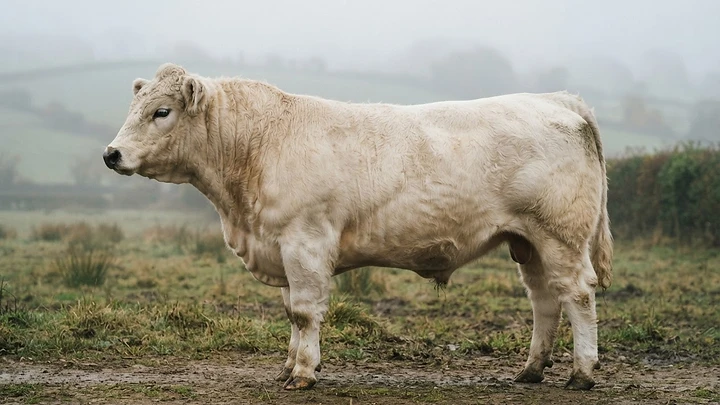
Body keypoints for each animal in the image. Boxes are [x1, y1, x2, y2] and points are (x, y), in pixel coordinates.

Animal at [102, 63, 613, 391]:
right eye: (134, 107)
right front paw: (289, 367)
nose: (111, 154)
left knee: (577, 295)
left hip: (561, 235)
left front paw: (304, 374)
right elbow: (290, 312)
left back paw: (582, 373)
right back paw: (530, 370)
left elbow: (305, 312)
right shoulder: (281, 249)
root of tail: (556, 99)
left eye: (161, 112)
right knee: (544, 299)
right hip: (528, 242)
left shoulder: (304, 242)